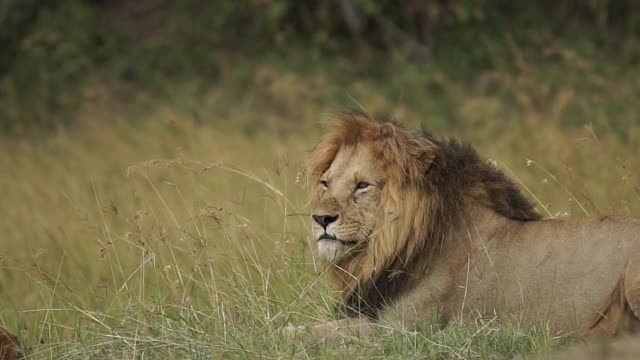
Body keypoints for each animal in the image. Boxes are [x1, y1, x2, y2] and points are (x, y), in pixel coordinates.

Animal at [292, 112, 640, 344]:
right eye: (325, 183)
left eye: (362, 185)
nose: (320, 218)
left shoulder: (405, 329)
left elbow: (320, 332)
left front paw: (289, 333)